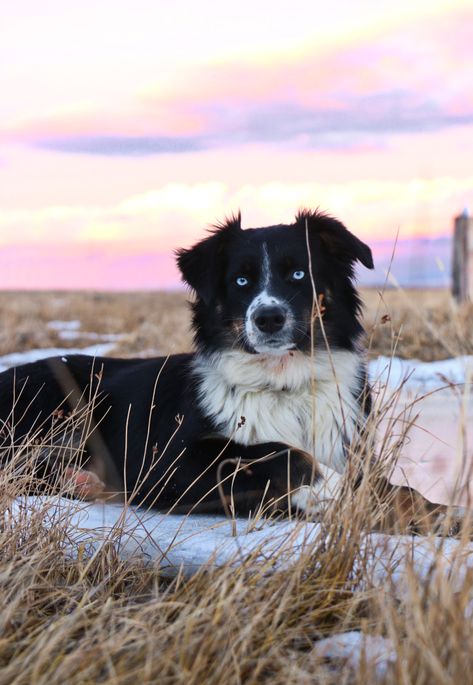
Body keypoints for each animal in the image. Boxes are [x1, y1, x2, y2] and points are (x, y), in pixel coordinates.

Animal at [0, 211, 464, 528]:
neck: (282, 385)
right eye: (240, 281)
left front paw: (438, 513)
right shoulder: (173, 462)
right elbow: (285, 452)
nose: (269, 318)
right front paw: (335, 491)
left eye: (299, 273)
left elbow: (396, 490)